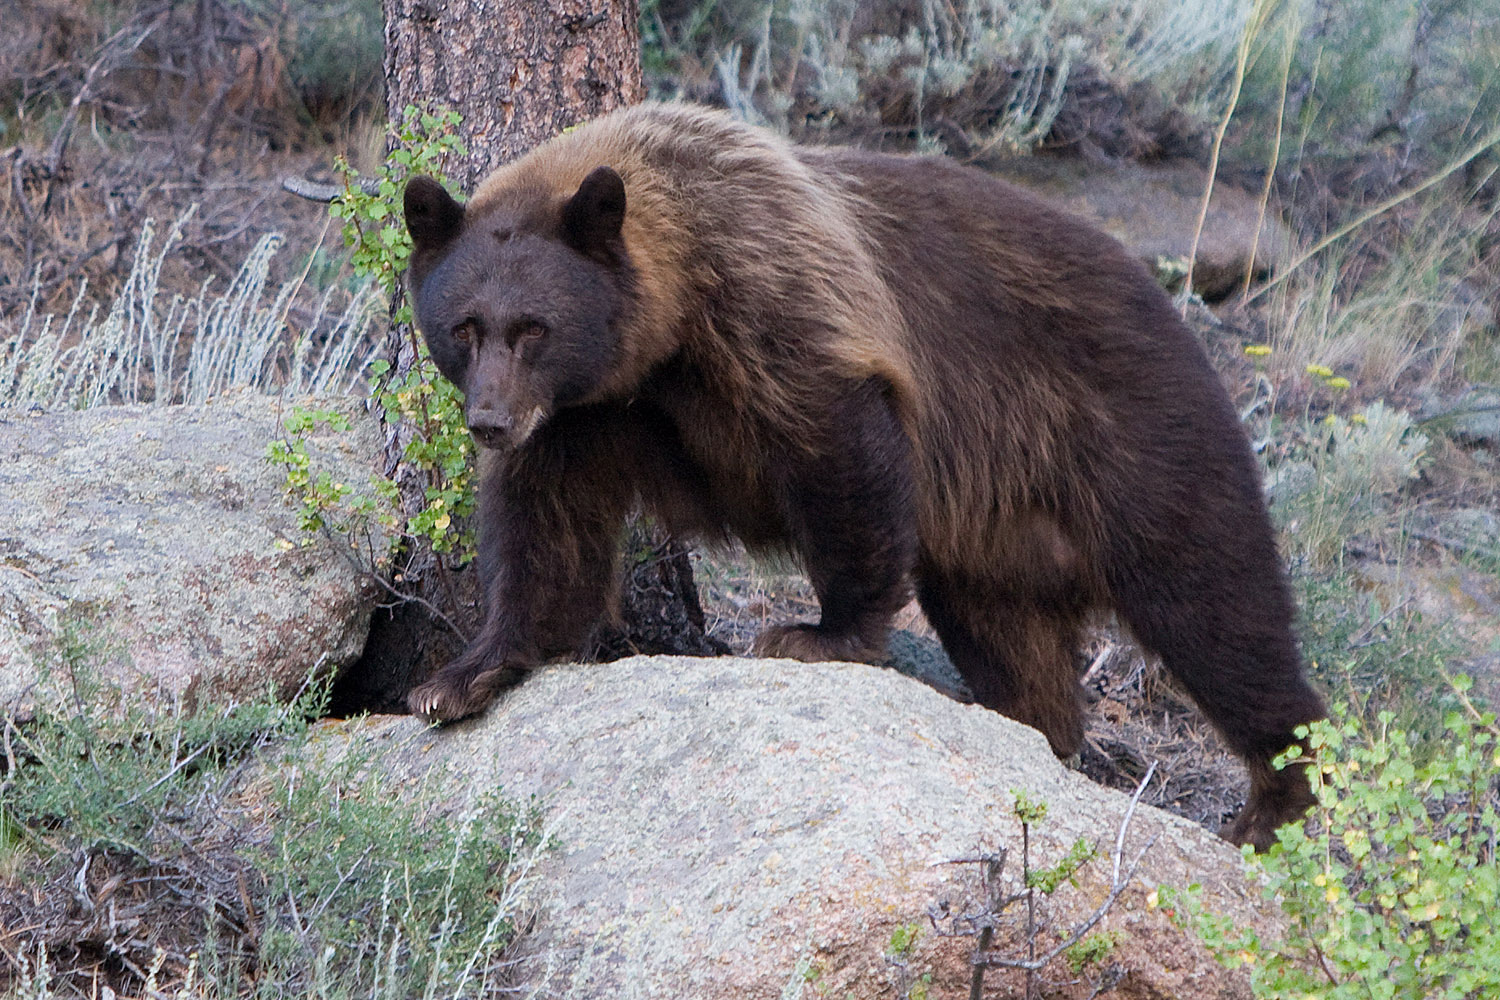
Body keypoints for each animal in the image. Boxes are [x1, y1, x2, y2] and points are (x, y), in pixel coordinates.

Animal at [399, 103, 1326, 851]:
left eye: (534, 327)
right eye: (464, 326)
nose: (490, 421)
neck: (665, 329)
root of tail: (1176, 309)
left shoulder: (774, 303)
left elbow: (838, 450)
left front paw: (820, 632)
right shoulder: (586, 416)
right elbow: (545, 533)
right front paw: (458, 677)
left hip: (1132, 435)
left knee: (1217, 607)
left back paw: (1274, 800)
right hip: (1002, 533)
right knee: (1011, 638)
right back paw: (1032, 726)